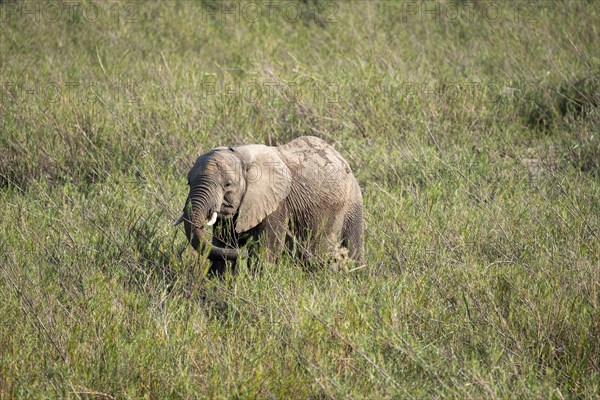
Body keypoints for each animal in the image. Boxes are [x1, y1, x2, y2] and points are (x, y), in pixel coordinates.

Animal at [171, 136, 364, 274]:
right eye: (188, 182)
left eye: (227, 184)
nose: (244, 252)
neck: (240, 155)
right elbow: (222, 246)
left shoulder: (277, 205)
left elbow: (265, 252)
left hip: (353, 203)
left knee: (351, 250)